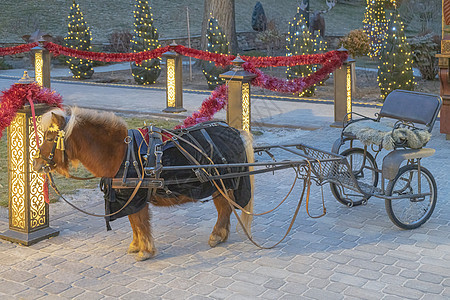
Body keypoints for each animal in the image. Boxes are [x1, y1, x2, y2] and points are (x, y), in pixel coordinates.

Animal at [32, 107, 253, 260]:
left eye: (50, 137)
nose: (36, 164)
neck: (121, 152)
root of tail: (235, 132)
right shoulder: (128, 198)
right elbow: (134, 222)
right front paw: (137, 245)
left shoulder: (136, 196)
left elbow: (139, 222)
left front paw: (145, 250)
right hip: (218, 185)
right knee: (224, 207)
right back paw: (220, 235)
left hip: (224, 184)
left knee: (225, 208)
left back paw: (217, 235)